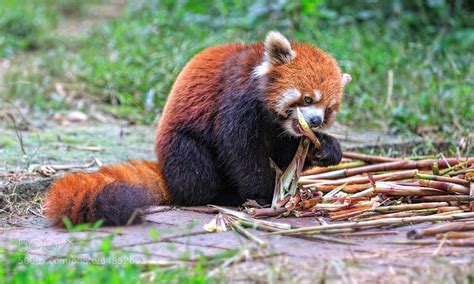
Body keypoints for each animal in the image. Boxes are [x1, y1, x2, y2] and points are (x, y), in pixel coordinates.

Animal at [42, 31, 350, 226]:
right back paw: (220, 196)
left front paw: (326, 148)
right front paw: (263, 195)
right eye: (307, 99)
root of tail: (166, 172)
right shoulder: (235, 101)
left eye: (328, 109)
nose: (315, 121)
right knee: (194, 166)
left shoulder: (281, 132)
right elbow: (241, 152)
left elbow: (288, 153)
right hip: (181, 149)